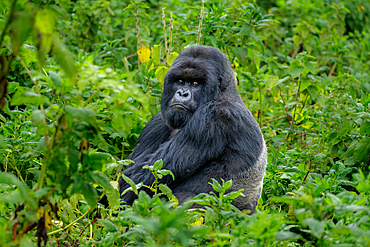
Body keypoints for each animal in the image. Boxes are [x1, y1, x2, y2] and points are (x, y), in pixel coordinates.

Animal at [118, 45, 266, 211]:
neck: (223, 92)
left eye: (195, 83)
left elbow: (138, 179)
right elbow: (132, 174)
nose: (182, 93)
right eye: (180, 81)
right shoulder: (158, 120)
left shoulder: (213, 116)